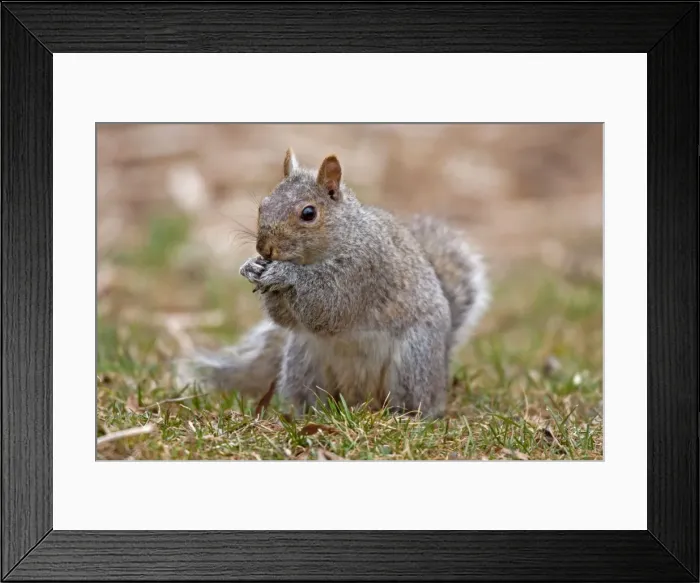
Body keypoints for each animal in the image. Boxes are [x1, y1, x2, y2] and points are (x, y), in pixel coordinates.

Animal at [176, 149, 490, 418]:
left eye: (308, 213)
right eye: (262, 206)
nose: (265, 249)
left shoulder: (363, 271)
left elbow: (329, 307)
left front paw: (285, 274)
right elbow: (287, 318)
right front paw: (251, 266)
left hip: (414, 361)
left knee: (415, 400)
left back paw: (406, 416)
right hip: (303, 363)